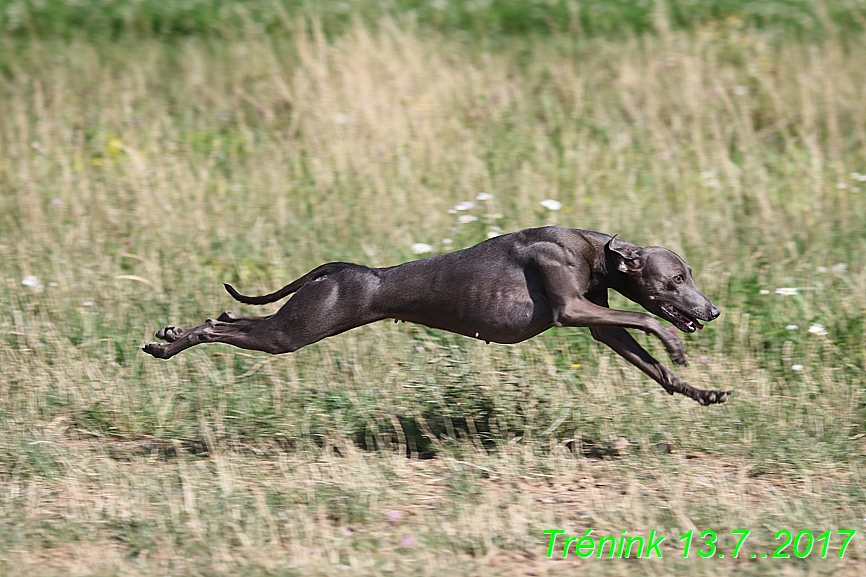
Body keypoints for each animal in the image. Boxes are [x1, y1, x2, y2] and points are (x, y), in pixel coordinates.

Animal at [143, 226, 728, 404]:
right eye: (676, 280)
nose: (712, 310)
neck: (594, 250)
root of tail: (345, 269)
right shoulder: (570, 309)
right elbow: (647, 322)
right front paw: (676, 342)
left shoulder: (600, 322)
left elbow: (654, 367)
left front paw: (702, 392)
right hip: (296, 328)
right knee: (220, 326)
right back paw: (168, 343)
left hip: (296, 323)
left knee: (228, 321)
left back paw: (169, 336)